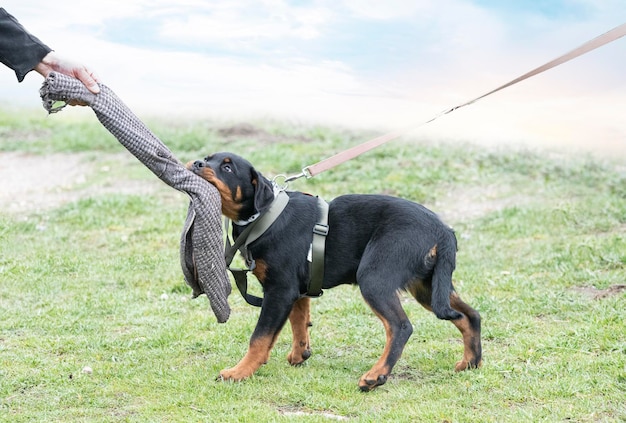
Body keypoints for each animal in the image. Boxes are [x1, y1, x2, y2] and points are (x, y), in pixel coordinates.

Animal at [188, 152, 480, 390]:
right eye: (208, 157)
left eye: (227, 168)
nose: (197, 163)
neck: (265, 215)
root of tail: (442, 230)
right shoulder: (297, 290)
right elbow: (299, 321)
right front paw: (300, 354)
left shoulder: (280, 290)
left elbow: (260, 337)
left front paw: (239, 372)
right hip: (427, 285)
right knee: (470, 315)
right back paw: (471, 362)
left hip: (375, 278)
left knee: (401, 327)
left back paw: (376, 376)